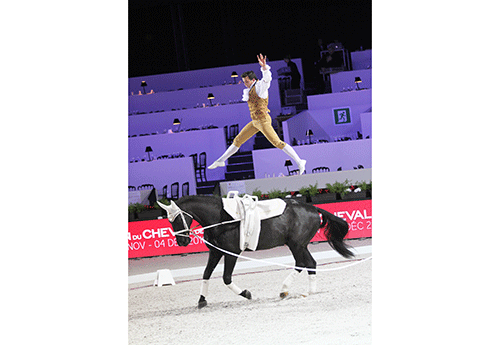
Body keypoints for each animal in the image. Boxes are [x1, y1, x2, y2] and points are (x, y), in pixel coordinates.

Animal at [158, 195, 354, 308]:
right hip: (301, 245)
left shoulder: (231, 253)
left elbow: (226, 278)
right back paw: (309, 292)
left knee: (301, 264)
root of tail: (313, 208)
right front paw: (201, 300)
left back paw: (284, 290)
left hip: (296, 245)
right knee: (310, 263)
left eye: (176, 219)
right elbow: (206, 274)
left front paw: (246, 294)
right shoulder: (215, 252)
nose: (182, 242)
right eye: (169, 221)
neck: (220, 219)